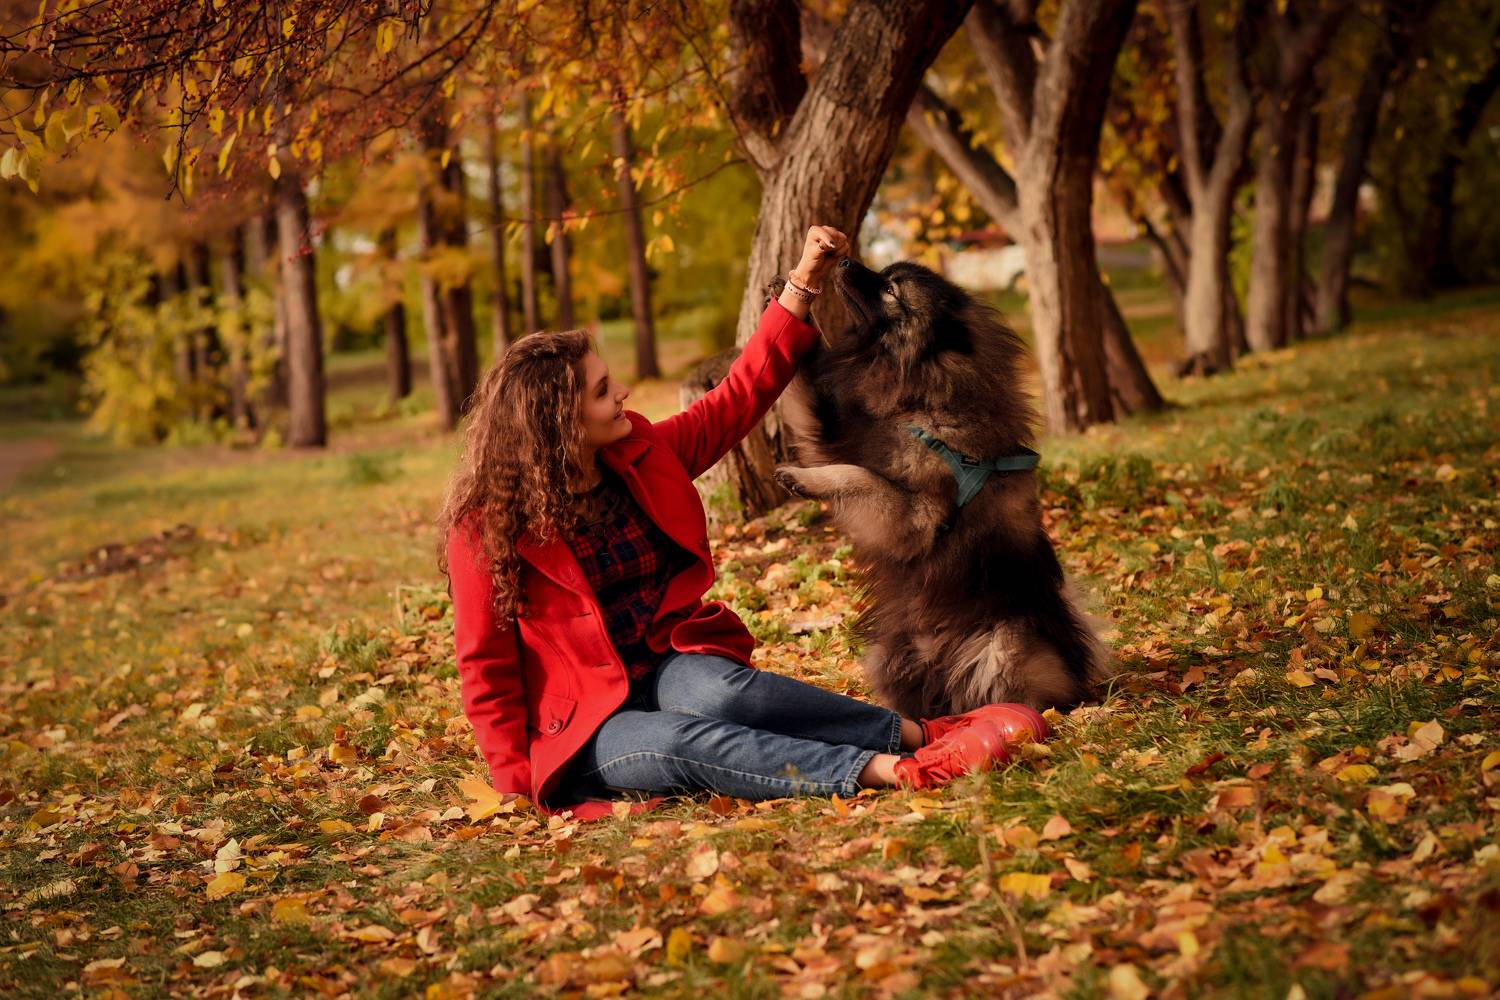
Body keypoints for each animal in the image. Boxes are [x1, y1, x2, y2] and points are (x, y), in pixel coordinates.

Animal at [769, 259, 1113, 719]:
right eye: (884, 273)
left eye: (891, 290)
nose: (842, 261)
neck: (925, 400)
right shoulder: (833, 430)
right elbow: (808, 379)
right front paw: (787, 301)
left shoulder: (916, 517)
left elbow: (857, 476)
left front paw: (800, 479)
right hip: (887, 655)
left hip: (1001, 648)